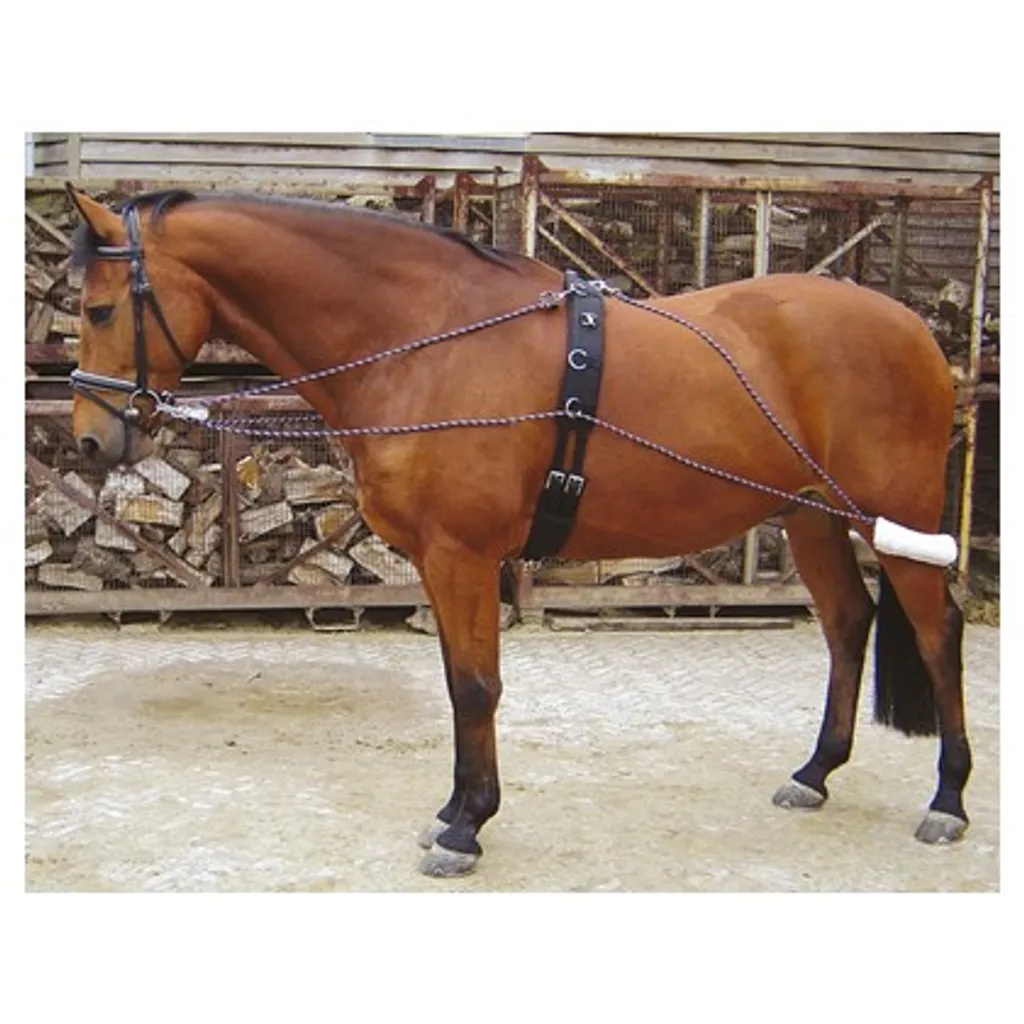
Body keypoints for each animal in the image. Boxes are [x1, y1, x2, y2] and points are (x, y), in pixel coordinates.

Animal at [64, 185, 971, 878]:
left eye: (100, 308)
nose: (89, 440)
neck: (422, 342)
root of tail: (916, 332)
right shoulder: (438, 562)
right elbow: (456, 681)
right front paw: (452, 810)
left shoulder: (464, 556)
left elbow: (475, 687)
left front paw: (467, 829)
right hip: (812, 517)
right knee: (849, 624)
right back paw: (815, 773)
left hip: (894, 519)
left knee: (938, 633)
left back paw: (948, 800)